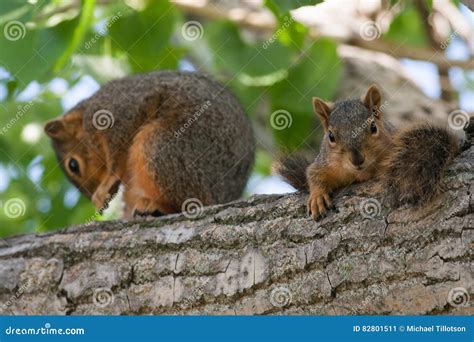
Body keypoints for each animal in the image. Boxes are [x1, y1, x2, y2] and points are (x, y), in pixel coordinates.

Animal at [44, 71, 256, 218]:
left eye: (73, 165)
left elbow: (118, 151)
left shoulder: (117, 112)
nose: (93, 199)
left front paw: (106, 186)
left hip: (164, 145)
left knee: (197, 200)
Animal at [278, 84, 460, 220]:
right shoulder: (324, 163)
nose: (357, 159)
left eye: (373, 127)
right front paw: (317, 197)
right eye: (331, 136)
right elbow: (312, 173)